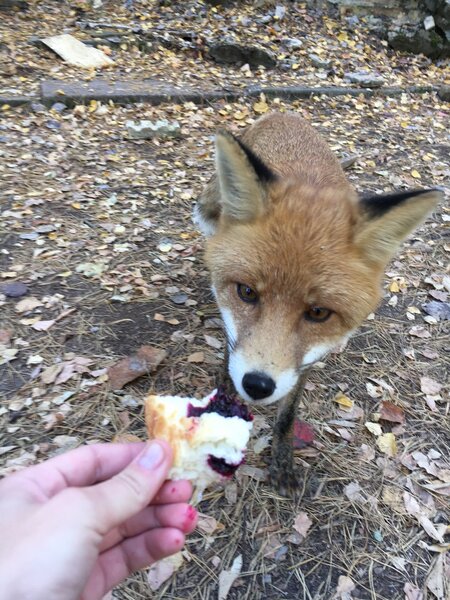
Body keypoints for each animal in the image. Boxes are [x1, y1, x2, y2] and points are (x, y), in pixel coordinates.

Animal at [192, 112, 440, 496]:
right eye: (246, 292)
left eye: (318, 313)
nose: (257, 385)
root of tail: (283, 113)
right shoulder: (234, 332)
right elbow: (228, 361)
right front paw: (223, 409)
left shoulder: (307, 357)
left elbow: (288, 414)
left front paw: (282, 462)